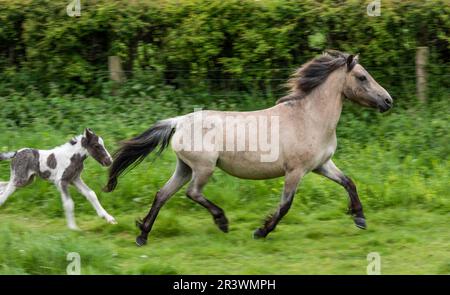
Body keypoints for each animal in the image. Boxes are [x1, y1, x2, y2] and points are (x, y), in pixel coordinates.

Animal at [103, 51, 392, 247]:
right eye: (362, 77)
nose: (388, 101)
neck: (309, 118)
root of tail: (179, 121)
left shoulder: (322, 165)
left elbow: (349, 182)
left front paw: (360, 219)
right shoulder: (296, 171)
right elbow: (285, 205)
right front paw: (260, 231)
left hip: (184, 167)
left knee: (162, 194)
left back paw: (142, 235)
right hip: (203, 168)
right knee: (192, 193)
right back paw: (222, 222)